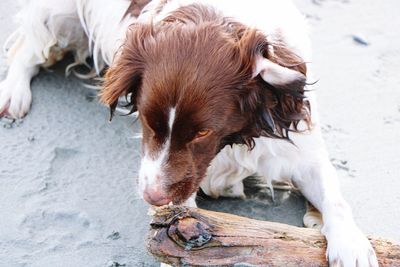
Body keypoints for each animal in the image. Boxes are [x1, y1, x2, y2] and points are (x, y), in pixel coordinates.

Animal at [0, 0, 378, 267]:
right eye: (146, 120)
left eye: (202, 132)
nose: (151, 197)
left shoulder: (300, 146)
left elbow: (334, 197)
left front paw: (351, 244)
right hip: (59, 13)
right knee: (27, 48)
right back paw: (13, 92)